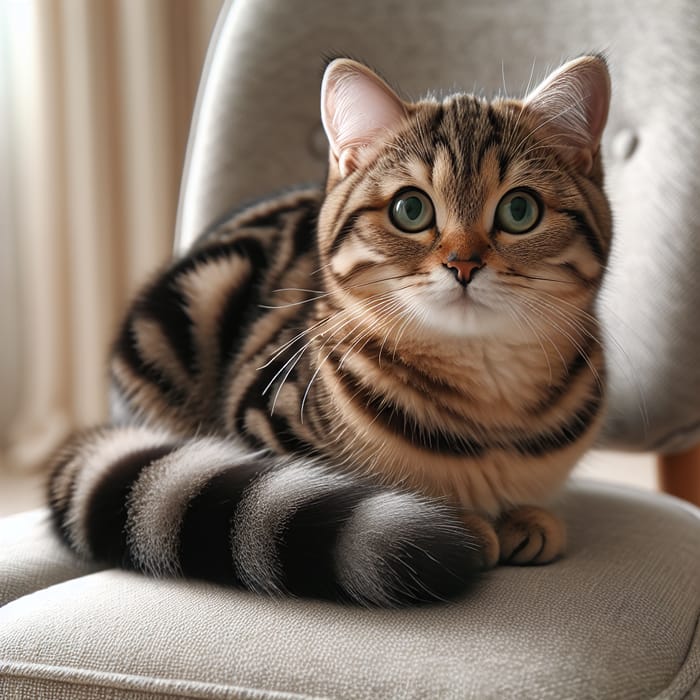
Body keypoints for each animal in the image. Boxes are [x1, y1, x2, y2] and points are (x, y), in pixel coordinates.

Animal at [47, 54, 612, 604]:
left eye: (520, 209)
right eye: (411, 208)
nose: (464, 264)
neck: (488, 416)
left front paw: (526, 518)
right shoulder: (261, 418)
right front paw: (468, 524)